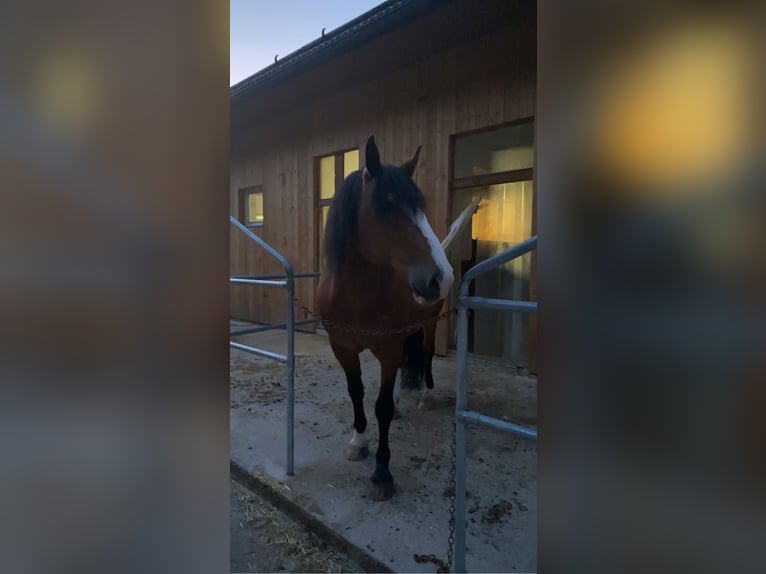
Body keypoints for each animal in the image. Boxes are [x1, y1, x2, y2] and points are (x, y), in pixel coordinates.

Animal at [316, 137, 452, 502]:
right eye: (387, 206)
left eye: (421, 207)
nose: (441, 277)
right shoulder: (342, 347)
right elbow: (357, 392)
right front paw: (358, 442)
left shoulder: (389, 349)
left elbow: (381, 407)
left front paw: (382, 472)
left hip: (430, 324)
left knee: (427, 356)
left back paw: (425, 396)